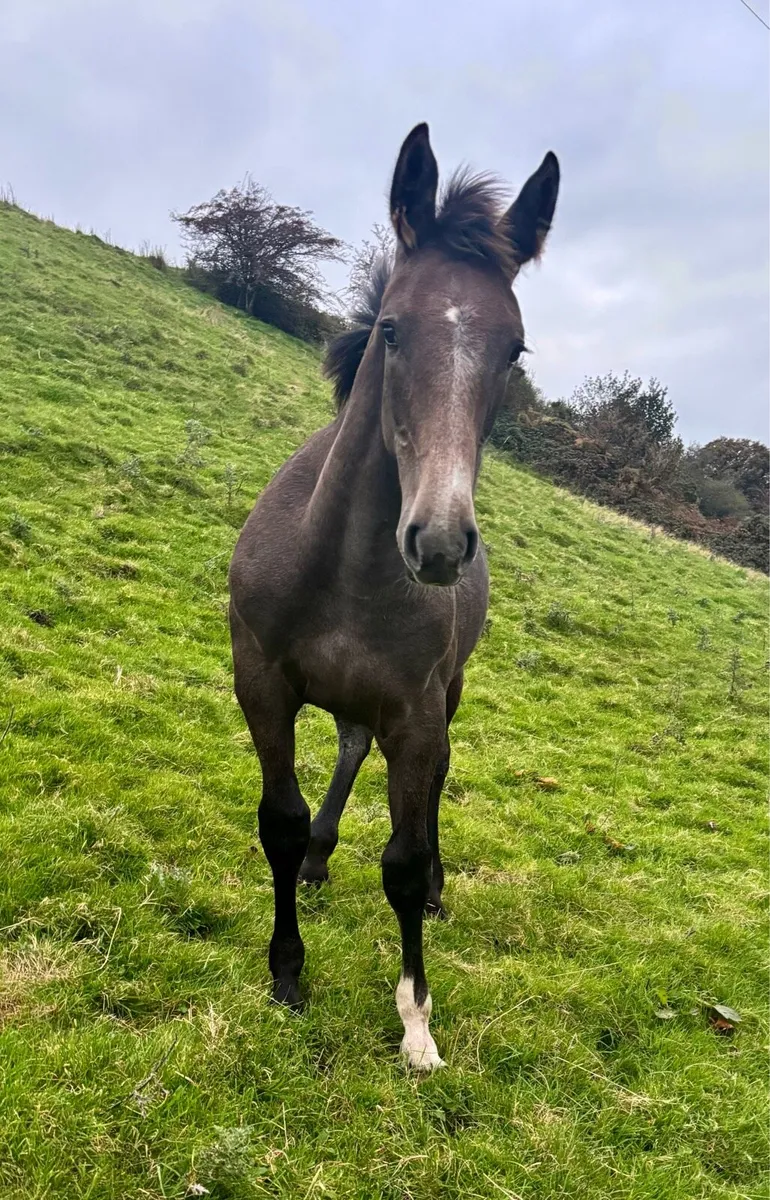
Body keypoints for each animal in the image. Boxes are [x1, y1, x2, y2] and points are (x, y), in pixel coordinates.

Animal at [229, 123, 559, 1070]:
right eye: (390, 328)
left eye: (514, 350)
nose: (439, 541)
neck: (342, 565)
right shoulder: (260, 680)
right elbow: (281, 819)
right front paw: (287, 971)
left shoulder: (417, 710)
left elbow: (404, 863)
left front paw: (416, 1021)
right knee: (347, 749)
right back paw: (318, 861)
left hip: (446, 694)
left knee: (426, 784)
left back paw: (437, 887)